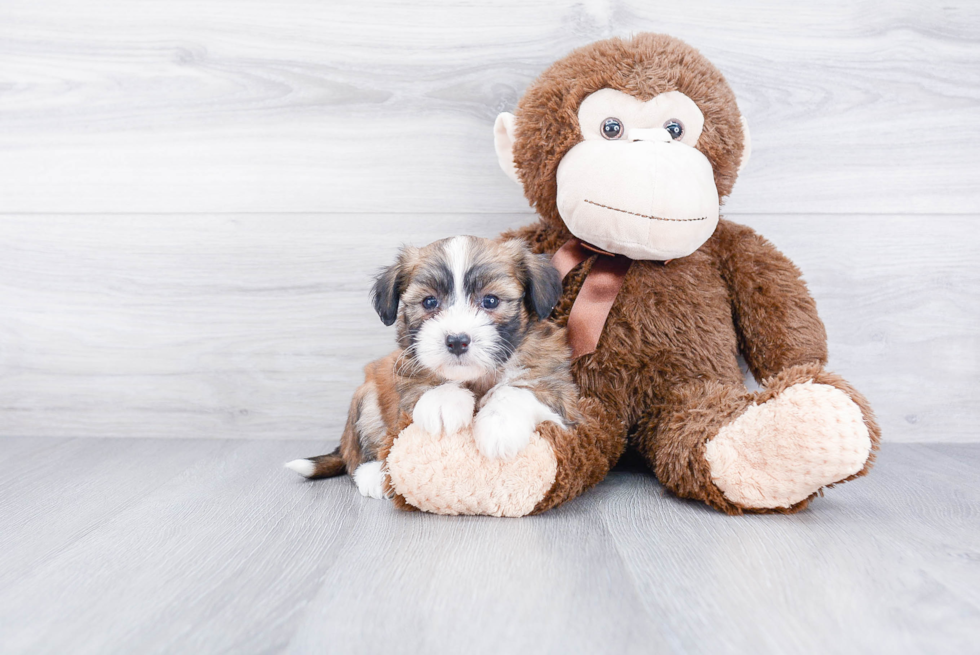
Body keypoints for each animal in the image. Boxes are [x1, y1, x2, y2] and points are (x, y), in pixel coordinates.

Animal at [284, 238, 580, 500]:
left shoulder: (561, 394)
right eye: (429, 302)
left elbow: (519, 389)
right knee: (359, 454)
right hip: (366, 398)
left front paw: (499, 425)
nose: (457, 341)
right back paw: (373, 474)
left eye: (491, 301)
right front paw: (444, 401)